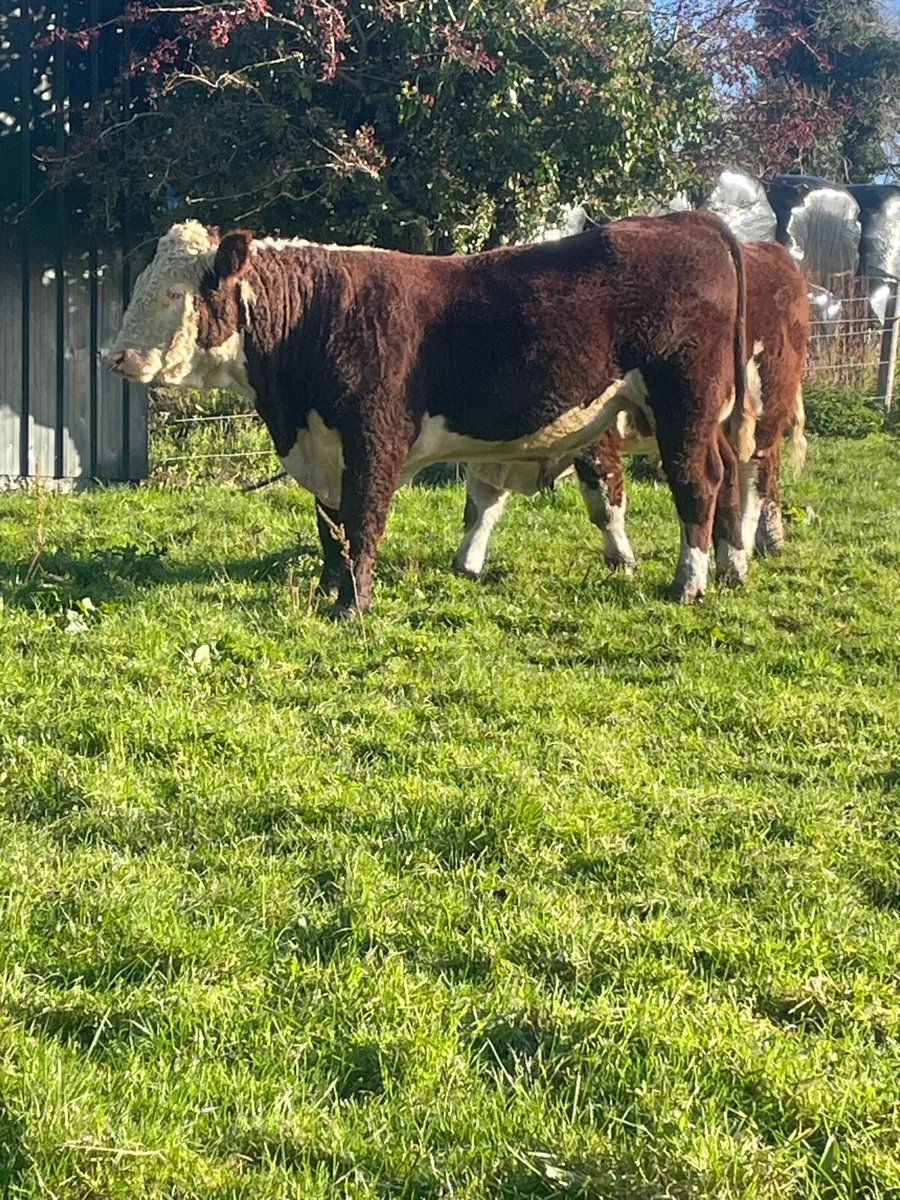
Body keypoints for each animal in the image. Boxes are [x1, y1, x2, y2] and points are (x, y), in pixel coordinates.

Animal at [108, 212, 747, 618]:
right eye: (140, 285)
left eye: (174, 294)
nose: (116, 356)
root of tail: (691, 220)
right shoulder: (323, 444)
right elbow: (330, 528)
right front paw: (327, 591)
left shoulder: (374, 439)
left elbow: (362, 522)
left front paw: (352, 608)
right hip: (703, 415)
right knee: (728, 473)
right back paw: (732, 566)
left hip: (684, 403)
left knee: (697, 482)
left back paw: (690, 582)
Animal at [455, 237, 808, 587]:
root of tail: (771, 250)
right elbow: (481, 505)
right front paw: (467, 561)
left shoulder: (597, 439)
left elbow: (604, 503)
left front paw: (621, 559)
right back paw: (769, 540)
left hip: (758, 411)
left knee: (756, 474)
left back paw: (744, 544)